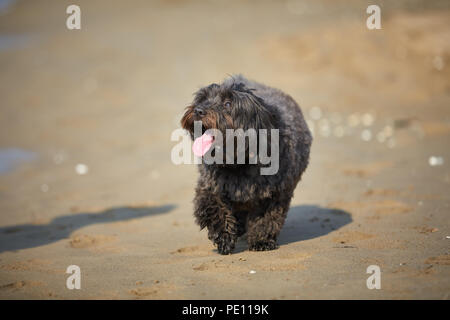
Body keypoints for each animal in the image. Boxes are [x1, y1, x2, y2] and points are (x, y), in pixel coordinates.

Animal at [181, 75, 312, 255]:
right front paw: (224, 237)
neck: (238, 161)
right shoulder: (210, 186)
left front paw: (261, 240)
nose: (198, 111)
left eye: (228, 103)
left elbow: (267, 218)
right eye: (203, 98)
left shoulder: (274, 194)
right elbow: (215, 209)